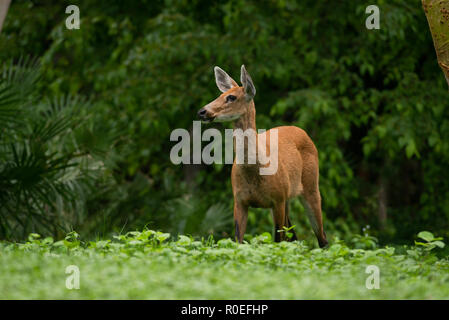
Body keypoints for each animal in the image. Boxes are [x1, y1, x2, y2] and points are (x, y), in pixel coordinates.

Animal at [198, 63, 328, 246]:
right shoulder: (239, 200)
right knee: (294, 236)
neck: (253, 170)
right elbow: (238, 241)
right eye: (220, 94)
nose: (202, 111)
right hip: (287, 198)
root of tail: (302, 131)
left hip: (310, 186)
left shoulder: (277, 199)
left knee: (322, 238)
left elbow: (278, 241)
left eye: (231, 97)